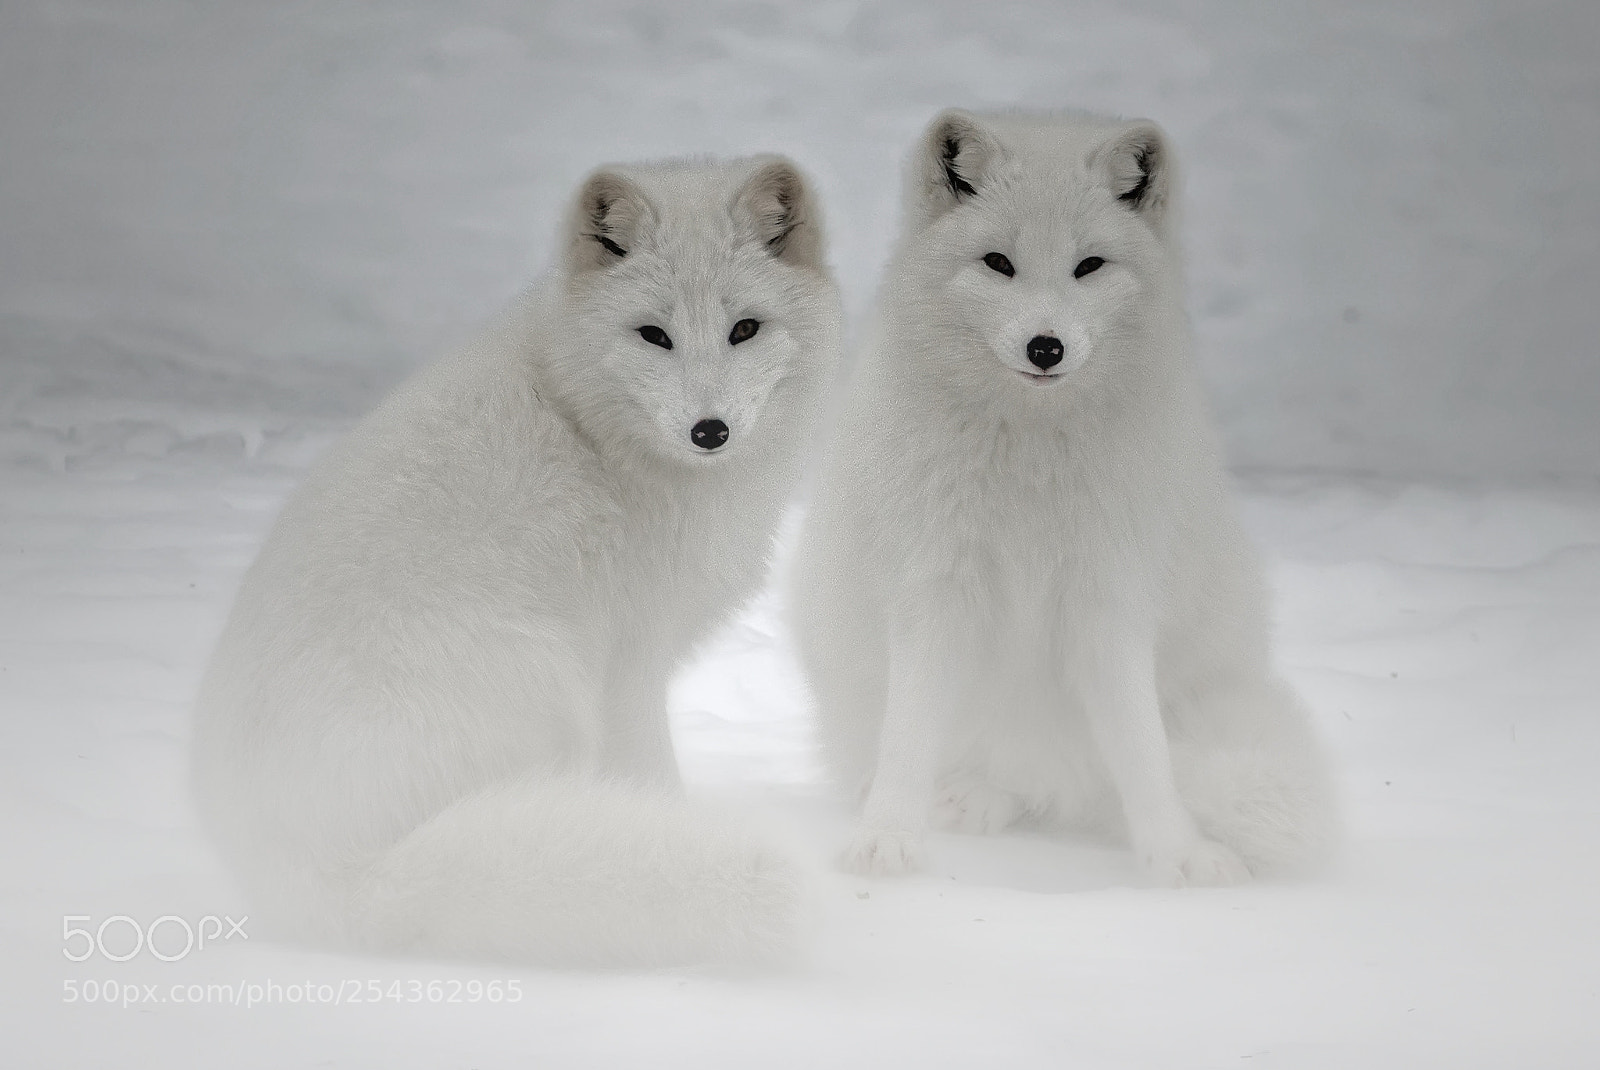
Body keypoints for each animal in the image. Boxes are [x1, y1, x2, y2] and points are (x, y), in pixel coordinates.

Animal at [191, 156, 841, 966]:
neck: (586, 418)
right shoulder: (630, 663)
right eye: (653, 335)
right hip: (547, 681)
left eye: (745, 328)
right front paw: (670, 811)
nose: (709, 430)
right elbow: (653, 775)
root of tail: (324, 878)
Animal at [790, 109, 1336, 887]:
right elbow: (909, 735)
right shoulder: (936, 589)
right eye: (998, 263)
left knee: (1057, 785)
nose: (1045, 346)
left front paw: (1177, 853)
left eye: (1089, 266)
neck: (1031, 457)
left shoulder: (1109, 597)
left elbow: (1142, 749)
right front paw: (887, 837)